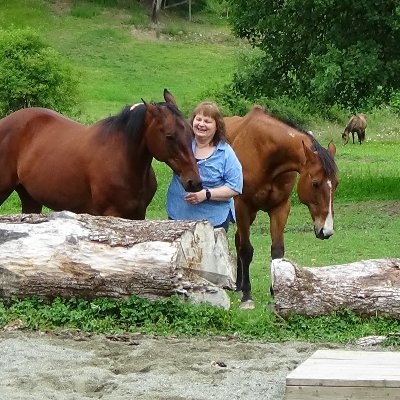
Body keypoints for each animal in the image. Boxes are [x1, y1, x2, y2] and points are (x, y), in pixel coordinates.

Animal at [0, 89, 202, 219]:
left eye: (191, 133)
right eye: (169, 136)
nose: (194, 182)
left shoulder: (138, 215)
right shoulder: (111, 214)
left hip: (30, 198)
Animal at [225, 104, 338, 308]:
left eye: (337, 183)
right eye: (315, 183)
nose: (326, 230)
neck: (264, 153)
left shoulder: (280, 208)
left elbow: (277, 252)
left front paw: (276, 292)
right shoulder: (242, 206)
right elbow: (247, 250)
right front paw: (247, 297)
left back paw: (238, 286)